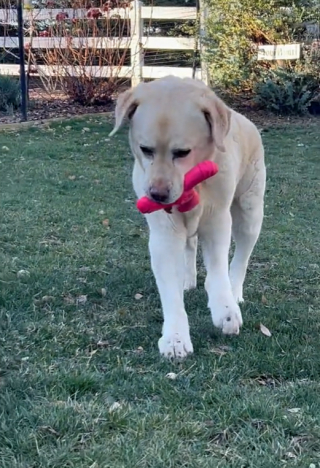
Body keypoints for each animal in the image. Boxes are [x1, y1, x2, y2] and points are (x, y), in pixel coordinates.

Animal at [110, 76, 264, 358]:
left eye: (182, 152)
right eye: (145, 149)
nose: (157, 195)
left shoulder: (217, 220)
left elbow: (218, 271)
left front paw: (225, 309)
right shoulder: (165, 233)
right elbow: (170, 288)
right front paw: (175, 337)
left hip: (250, 211)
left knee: (241, 258)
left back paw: (234, 291)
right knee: (190, 245)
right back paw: (189, 279)